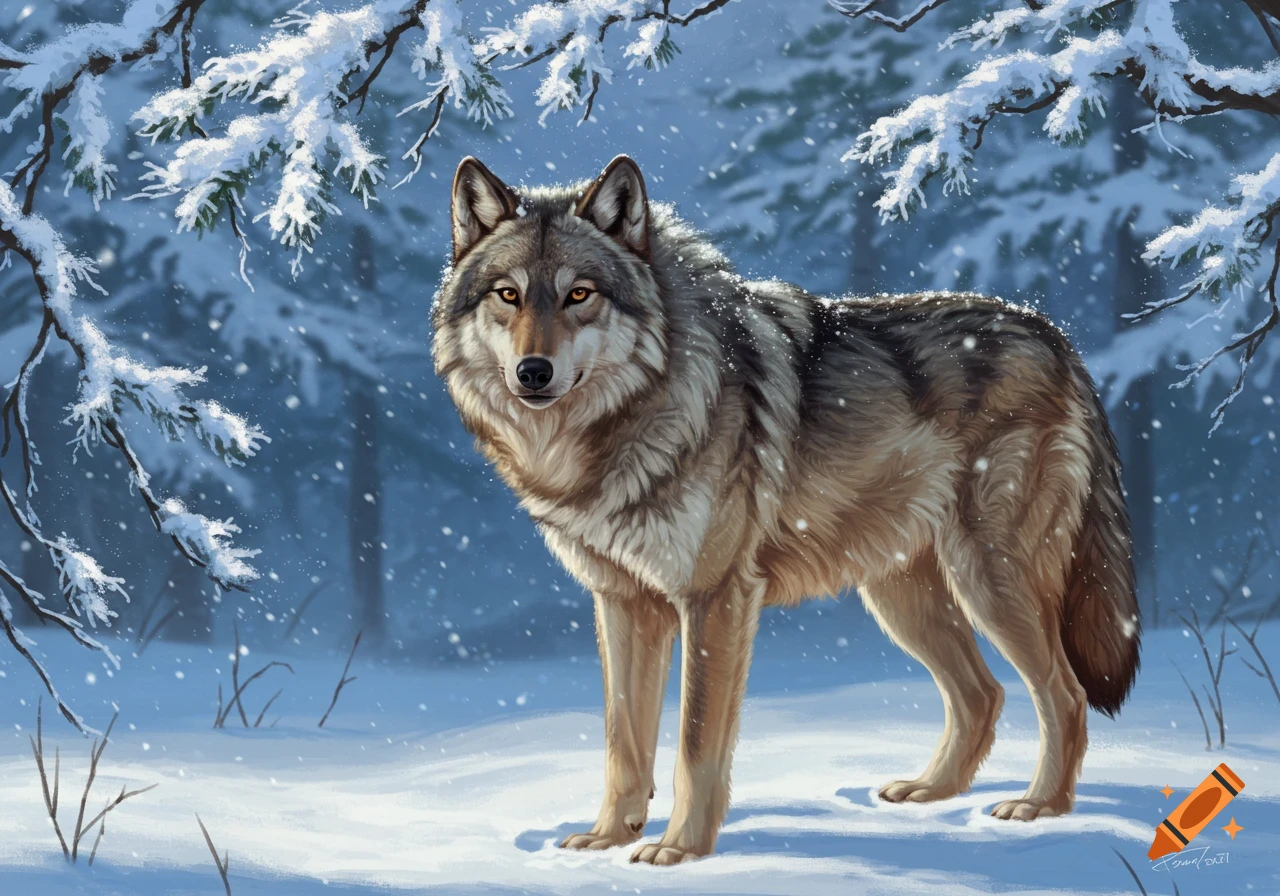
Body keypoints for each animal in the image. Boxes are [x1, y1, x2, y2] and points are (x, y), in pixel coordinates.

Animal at [432, 154, 1141, 865]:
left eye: (579, 295)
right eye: (507, 295)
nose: (533, 372)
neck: (633, 416)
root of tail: (1054, 336)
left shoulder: (715, 598)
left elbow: (694, 742)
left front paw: (680, 850)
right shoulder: (623, 602)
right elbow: (622, 742)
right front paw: (607, 837)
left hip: (989, 580)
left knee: (1065, 695)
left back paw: (1040, 808)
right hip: (902, 597)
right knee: (983, 695)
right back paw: (931, 793)